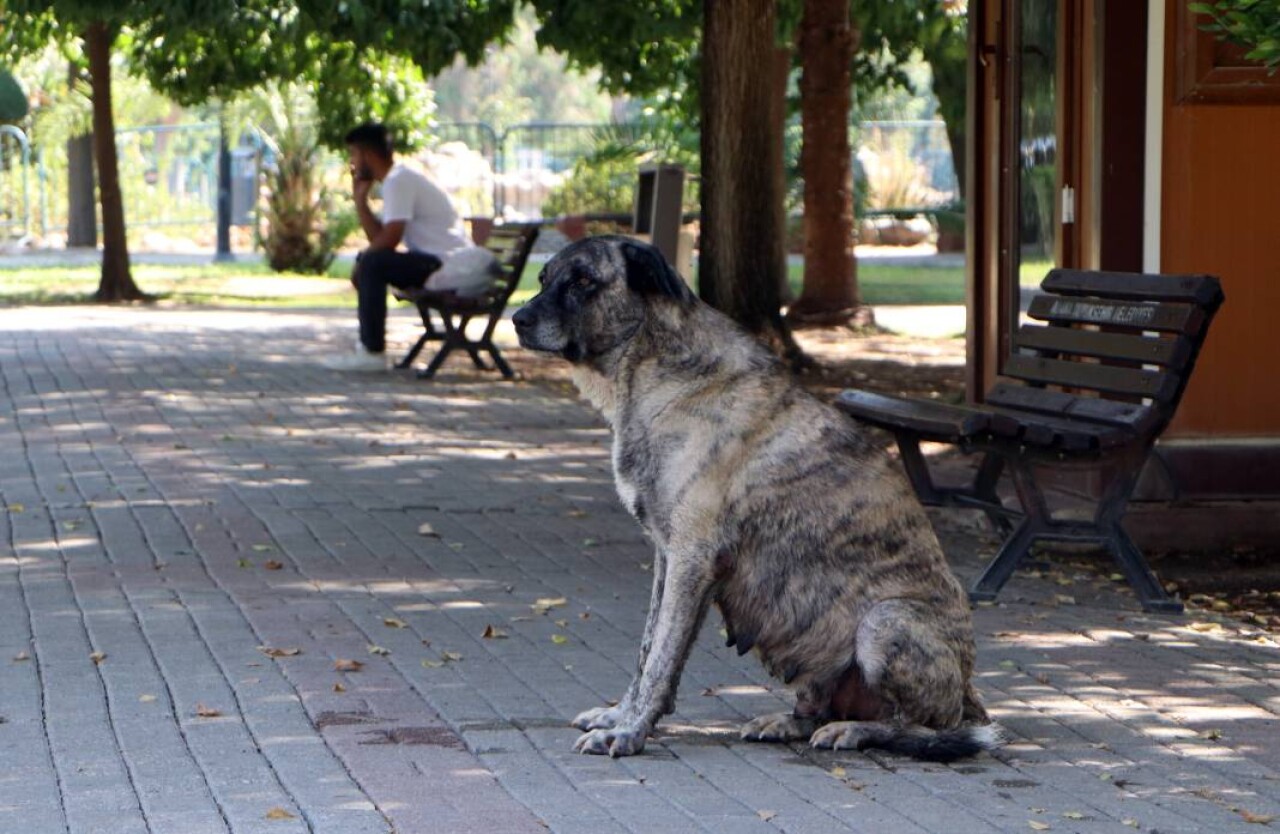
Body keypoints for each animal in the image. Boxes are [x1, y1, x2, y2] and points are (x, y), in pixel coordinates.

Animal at [509, 237, 998, 757]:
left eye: (583, 280)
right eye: (544, 279)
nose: (518, 319)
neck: (659, 373)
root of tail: (970, 696)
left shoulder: (692, 559)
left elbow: (660, 657)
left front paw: (629, 731)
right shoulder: (668, 557)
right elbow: (647, 650)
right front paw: (621, 716)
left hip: (885, 621)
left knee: (920, 730)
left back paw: (857, 730)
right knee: (821, 706)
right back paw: (789, 723)